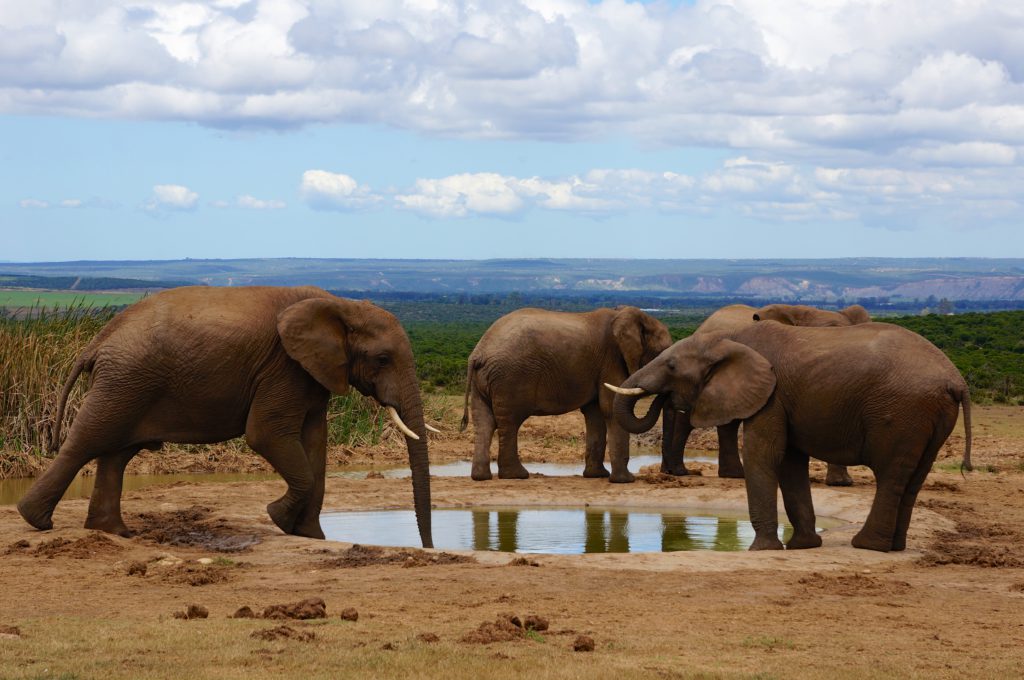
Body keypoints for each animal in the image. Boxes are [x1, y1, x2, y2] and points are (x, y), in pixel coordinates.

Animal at [17, 286, 433, 547]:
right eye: (383, 359)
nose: (430, 548)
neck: (339, 305)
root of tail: (97, 340)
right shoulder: (284, 367)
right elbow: (266, 434)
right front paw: (278, 518)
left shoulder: (314, 373)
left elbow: (316, 444)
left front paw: (310, 537)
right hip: (126, 379)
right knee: (88, 440)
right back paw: (36, 520)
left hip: (128, 381)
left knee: (116, 453)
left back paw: (114, 533)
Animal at [460, 306, 672, 483]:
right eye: (663, 356)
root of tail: (478, 353)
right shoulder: (611, 361)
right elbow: (609, 409)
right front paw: (625, 481)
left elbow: (595, 413)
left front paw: (597, 476)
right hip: (511, 377)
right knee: (510, 422)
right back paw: (516, 475)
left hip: (484, 382)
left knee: (484, 422)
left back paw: (481, 477)